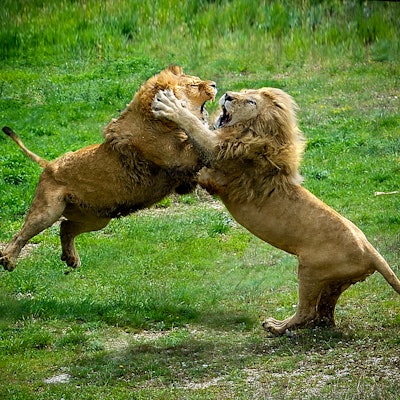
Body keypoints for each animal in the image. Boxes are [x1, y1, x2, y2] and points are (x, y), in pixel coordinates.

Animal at [0, 66, 216, 272]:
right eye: (194, 85)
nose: (214, 84)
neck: (158, 122)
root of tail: (49, 164)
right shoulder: (180, 157)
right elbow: (200, 136)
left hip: (96, 218)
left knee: (65, 226)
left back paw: (71, 258)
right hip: (48, 211)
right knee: (21, 235)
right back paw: (8, 260)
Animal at [153, 87, 400, 334]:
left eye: (251, 102)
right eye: (243, 91)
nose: (228, 95)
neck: (251, 132)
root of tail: (371, 251)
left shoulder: (218, 163)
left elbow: (196, 128)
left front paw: (171, 106)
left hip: (310, 270)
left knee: (306, 311)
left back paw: (277, 327)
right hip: (335, 282)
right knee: (324, 312)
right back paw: (314, 325)